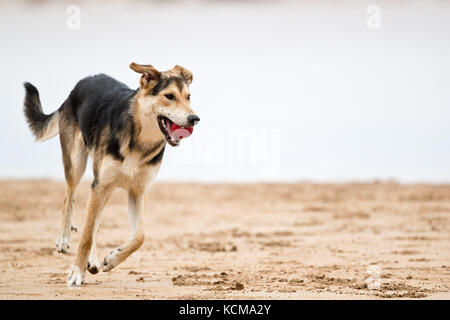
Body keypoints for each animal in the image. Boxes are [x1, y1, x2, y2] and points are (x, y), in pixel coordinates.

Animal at [22, 62, 199, 284]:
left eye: (189, 97)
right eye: (169, 96)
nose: (194, 119)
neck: (140, 141)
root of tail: (76, 88)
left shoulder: (137, 190)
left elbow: (140, 236)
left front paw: (113, 258)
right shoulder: (99, 185)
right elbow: (86, 235)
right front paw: (77, 271)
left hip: (107, 187)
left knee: (95, 221)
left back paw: (93, 260)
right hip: (78, 165)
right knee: (69, 196)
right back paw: (64, 238)